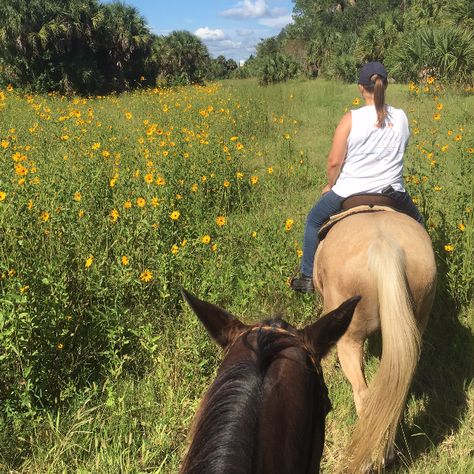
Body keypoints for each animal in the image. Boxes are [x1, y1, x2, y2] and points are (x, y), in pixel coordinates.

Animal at [312, 208, 438, 470]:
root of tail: (385, 246)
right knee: (395, 393)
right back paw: (386, 455)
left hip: (350, 341)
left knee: (364, 394)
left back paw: (367, 460)